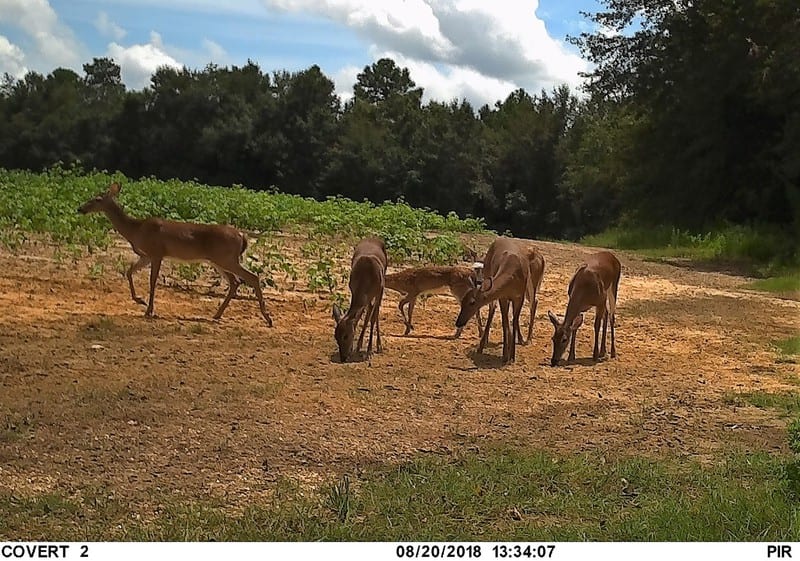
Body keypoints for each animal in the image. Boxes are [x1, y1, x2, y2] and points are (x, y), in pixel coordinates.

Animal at [77, 182, 273, 325]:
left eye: (97, 199)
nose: (80, 209)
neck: (136, 230)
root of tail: (242, 236)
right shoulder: (146, 255)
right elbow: (129, 271)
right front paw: (139, 300)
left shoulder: (156, 253)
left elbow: (152, 281)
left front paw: (149, 310)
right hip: (219, 260)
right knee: (235, 281)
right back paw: (217, 315)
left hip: (226, 258)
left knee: (252, 277)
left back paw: (267, 318)